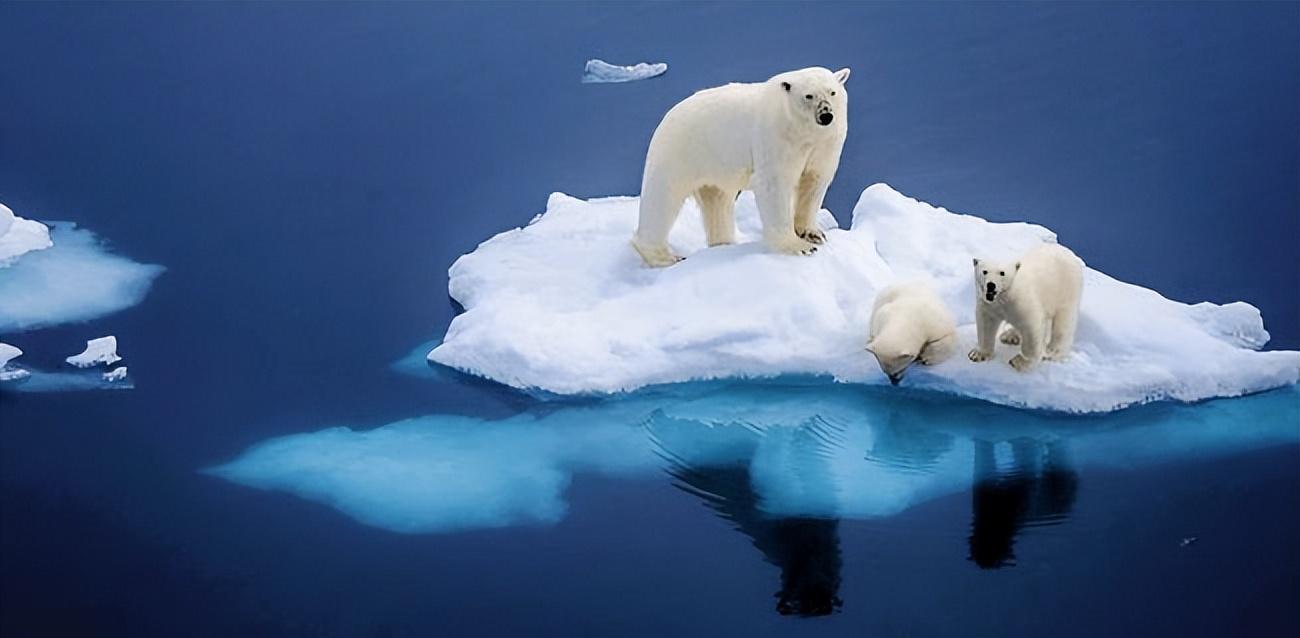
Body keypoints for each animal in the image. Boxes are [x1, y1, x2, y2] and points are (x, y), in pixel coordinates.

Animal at [631, 64, 852, 265]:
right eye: (809, 96)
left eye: (832, 92)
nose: (826, 115)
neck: (802, 132)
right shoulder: (775, 137)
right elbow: (774, 184)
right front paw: (799, 247)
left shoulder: (825, 143)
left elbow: (814, 181)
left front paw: (813, 234)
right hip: (678, 153)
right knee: (663, 198)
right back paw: (665, 257)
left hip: (714, 167)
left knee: (718, 203)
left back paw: (723, 243)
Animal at [972, 244, 1081, 374]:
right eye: (985, 271)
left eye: (1002, 273)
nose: (991, 285)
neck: (1005, 296)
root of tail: (1071, 253)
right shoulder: (990, 304)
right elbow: (986, 325)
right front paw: (977, 354)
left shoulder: (1023, 301)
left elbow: (1032, 327)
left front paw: (1019, 362)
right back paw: (1009, 336)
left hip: (1065, 290)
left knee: (1063, 323)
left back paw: (1052, 351)